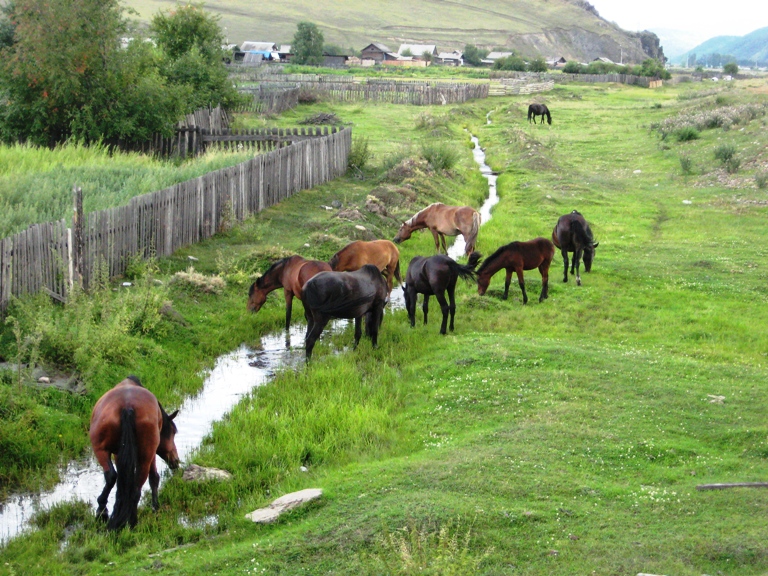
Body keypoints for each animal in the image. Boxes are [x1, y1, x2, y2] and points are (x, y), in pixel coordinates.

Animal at [89, 376, 179, 530]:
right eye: (173, 432)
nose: (176, 461)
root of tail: (128, 406)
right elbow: (151, 478)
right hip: (143, 454)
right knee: (132, 485)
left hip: (102, 450)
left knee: (114, 477)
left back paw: (107, 513)